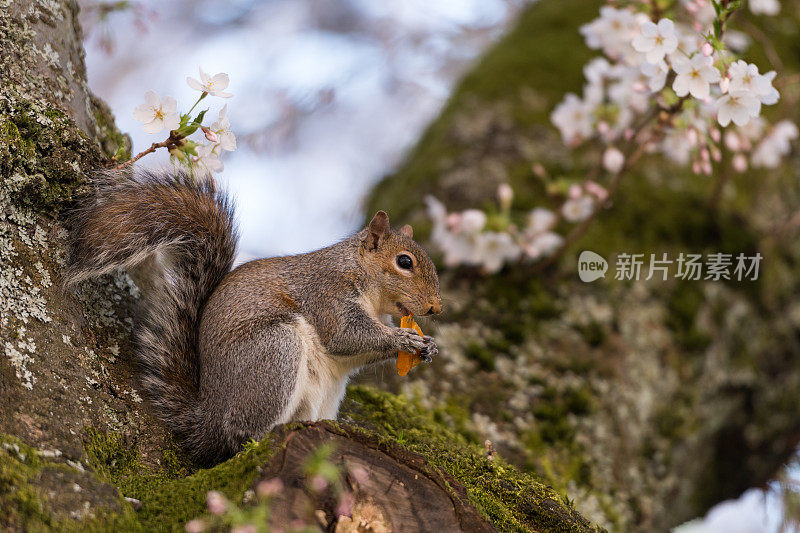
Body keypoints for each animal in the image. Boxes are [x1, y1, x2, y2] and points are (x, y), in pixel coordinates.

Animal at [67, 168, 444, 464]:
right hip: (273, 353)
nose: (435, 308)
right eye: (405, 262)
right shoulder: (327, 294)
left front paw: (428, 346)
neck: (361, 278)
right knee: (240, 435)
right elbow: (345, 336)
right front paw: (403, 338)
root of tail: (208, 417)